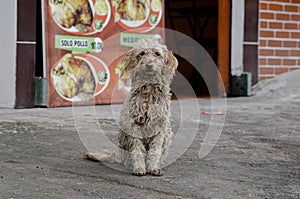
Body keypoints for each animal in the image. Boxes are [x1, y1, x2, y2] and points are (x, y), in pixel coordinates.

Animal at [84, 38, 178, 176]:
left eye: (157, 54)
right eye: (142, 53)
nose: (149, 65)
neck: (149, 92)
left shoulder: (160, 127)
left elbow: (155, 151)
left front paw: (153, 167)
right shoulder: (134, 126)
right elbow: (138, 150)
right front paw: (139, 168)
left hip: (168, 133)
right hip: (124, 135)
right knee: (127, 158)